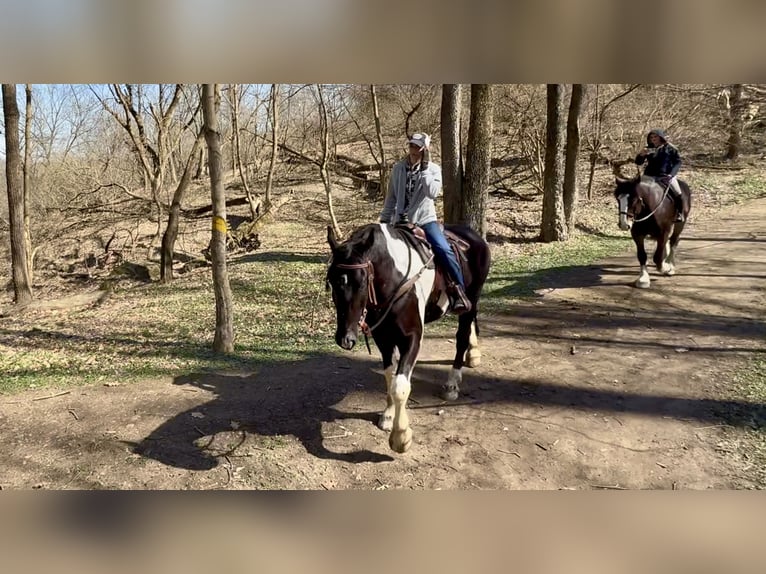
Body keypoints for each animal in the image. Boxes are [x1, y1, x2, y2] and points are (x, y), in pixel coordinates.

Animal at [326, 222, 491, 453]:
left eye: (362, 282)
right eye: (331, 281)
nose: (345, 338)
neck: (396, 280)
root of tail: (473, 236)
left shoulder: (412, 338)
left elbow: (400, 385)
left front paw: (400, 436)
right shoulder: (383, 338)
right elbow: (389, 377)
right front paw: (388, 416)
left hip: (471, 299)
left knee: (461, 337)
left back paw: (452, 384)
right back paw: (473, 355)